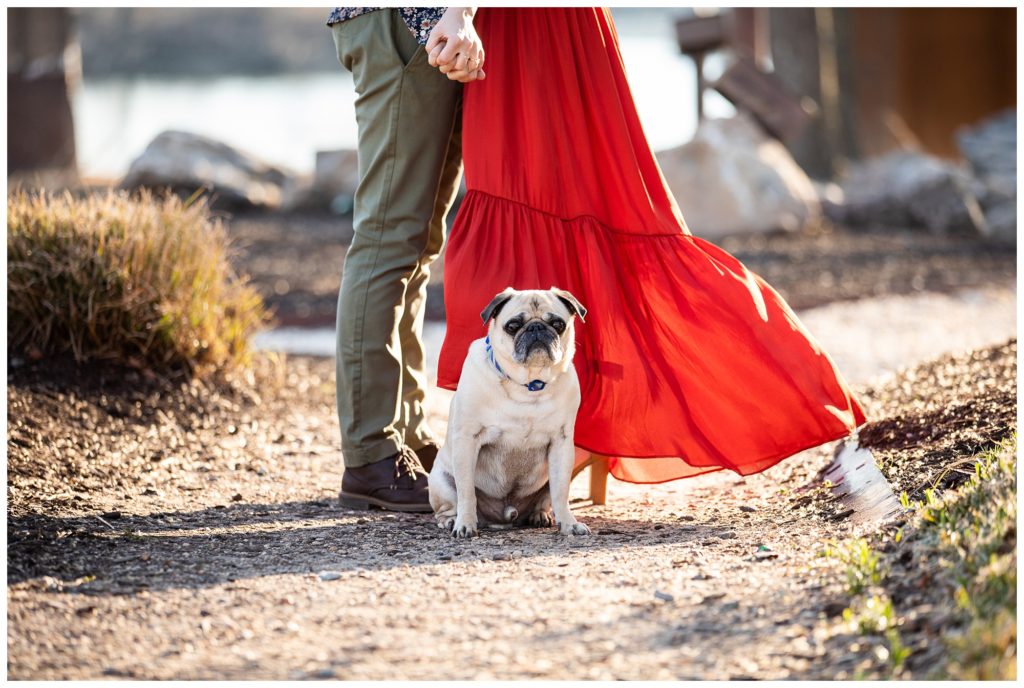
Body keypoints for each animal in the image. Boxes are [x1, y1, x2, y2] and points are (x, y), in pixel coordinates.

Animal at [428, 284, 593, 536]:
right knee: (449, 505)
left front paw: (569, 524)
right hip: (440, 482)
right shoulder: (467, 439)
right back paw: (451, 520)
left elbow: (561, 493)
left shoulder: (561, 443)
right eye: (513, 326)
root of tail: (505, 516)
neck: (528, 385)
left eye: (558, 324)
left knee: (547, 498)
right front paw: (465, 524)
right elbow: (466, 492)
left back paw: (540, 515)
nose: (536, 327)